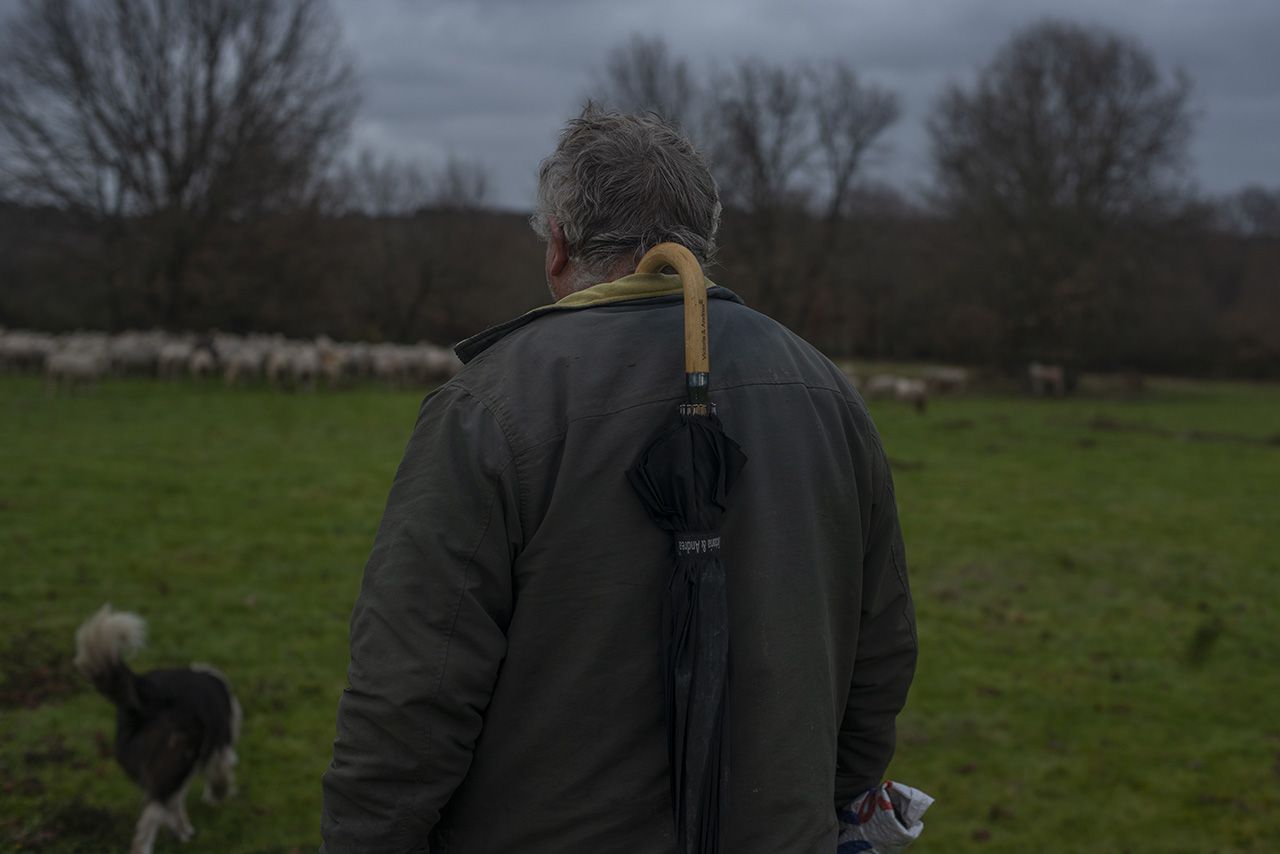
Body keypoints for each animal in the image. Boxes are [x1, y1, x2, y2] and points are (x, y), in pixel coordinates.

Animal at [74, 606, 241, 854]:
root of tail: (145, 692)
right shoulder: (215, 750)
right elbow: (219, 774)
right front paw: (218, 795)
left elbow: (177, 803)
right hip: (177, 760)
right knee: (148, 822)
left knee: (162, 805)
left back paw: (180, 831)